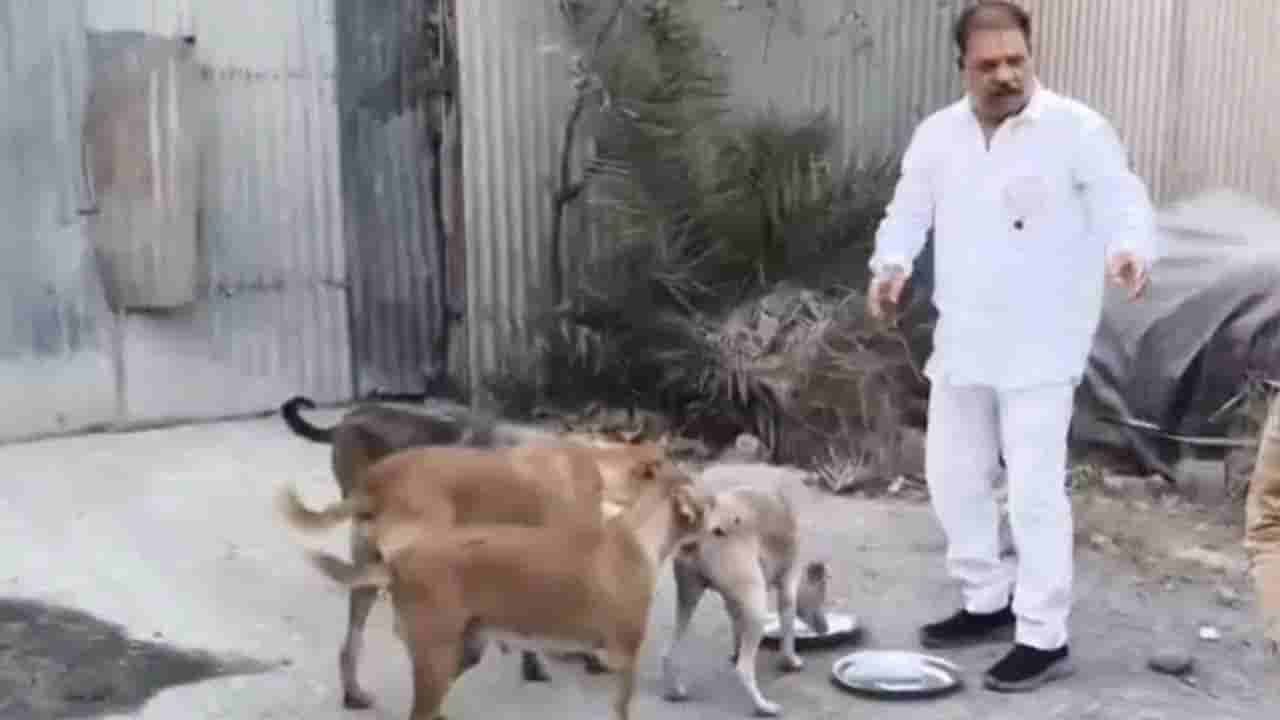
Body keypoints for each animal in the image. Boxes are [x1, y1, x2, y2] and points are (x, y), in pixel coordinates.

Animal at [296, 456, 711, 720]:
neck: (638, 534)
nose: (722, 524)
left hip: (462, 650)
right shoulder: (625, 661)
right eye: (707, 500)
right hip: (436, 657)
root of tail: (398, 564)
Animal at [661, 483, 829, 717]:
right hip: (757, 606)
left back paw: (675, 691)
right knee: (744, 669)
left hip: (688, 596)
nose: (825, 628)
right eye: (821, 594)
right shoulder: (788, 587)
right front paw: (791, 661)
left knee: (668, 653)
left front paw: (735, 650)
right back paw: (763, 706)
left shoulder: (733, 602)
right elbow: (787, 627)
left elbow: (736, 623)